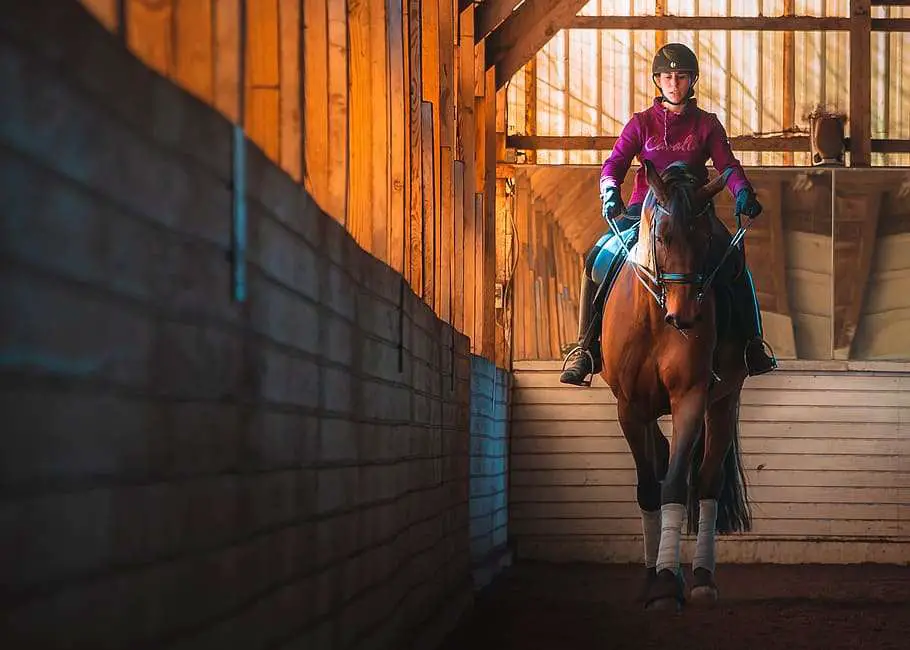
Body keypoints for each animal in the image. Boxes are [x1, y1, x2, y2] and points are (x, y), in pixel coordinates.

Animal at [604, 161, 756, 608]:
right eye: (662, 237)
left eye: (705, 240)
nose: (685, 316)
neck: (657, 317)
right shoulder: (629, 407)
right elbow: (648, 488)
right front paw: (652, 576)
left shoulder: (690, 398)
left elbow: (673, 483)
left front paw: (667, 580)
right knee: (662, 457)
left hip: (723, 402)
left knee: (706, 482)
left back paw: (703, 577)